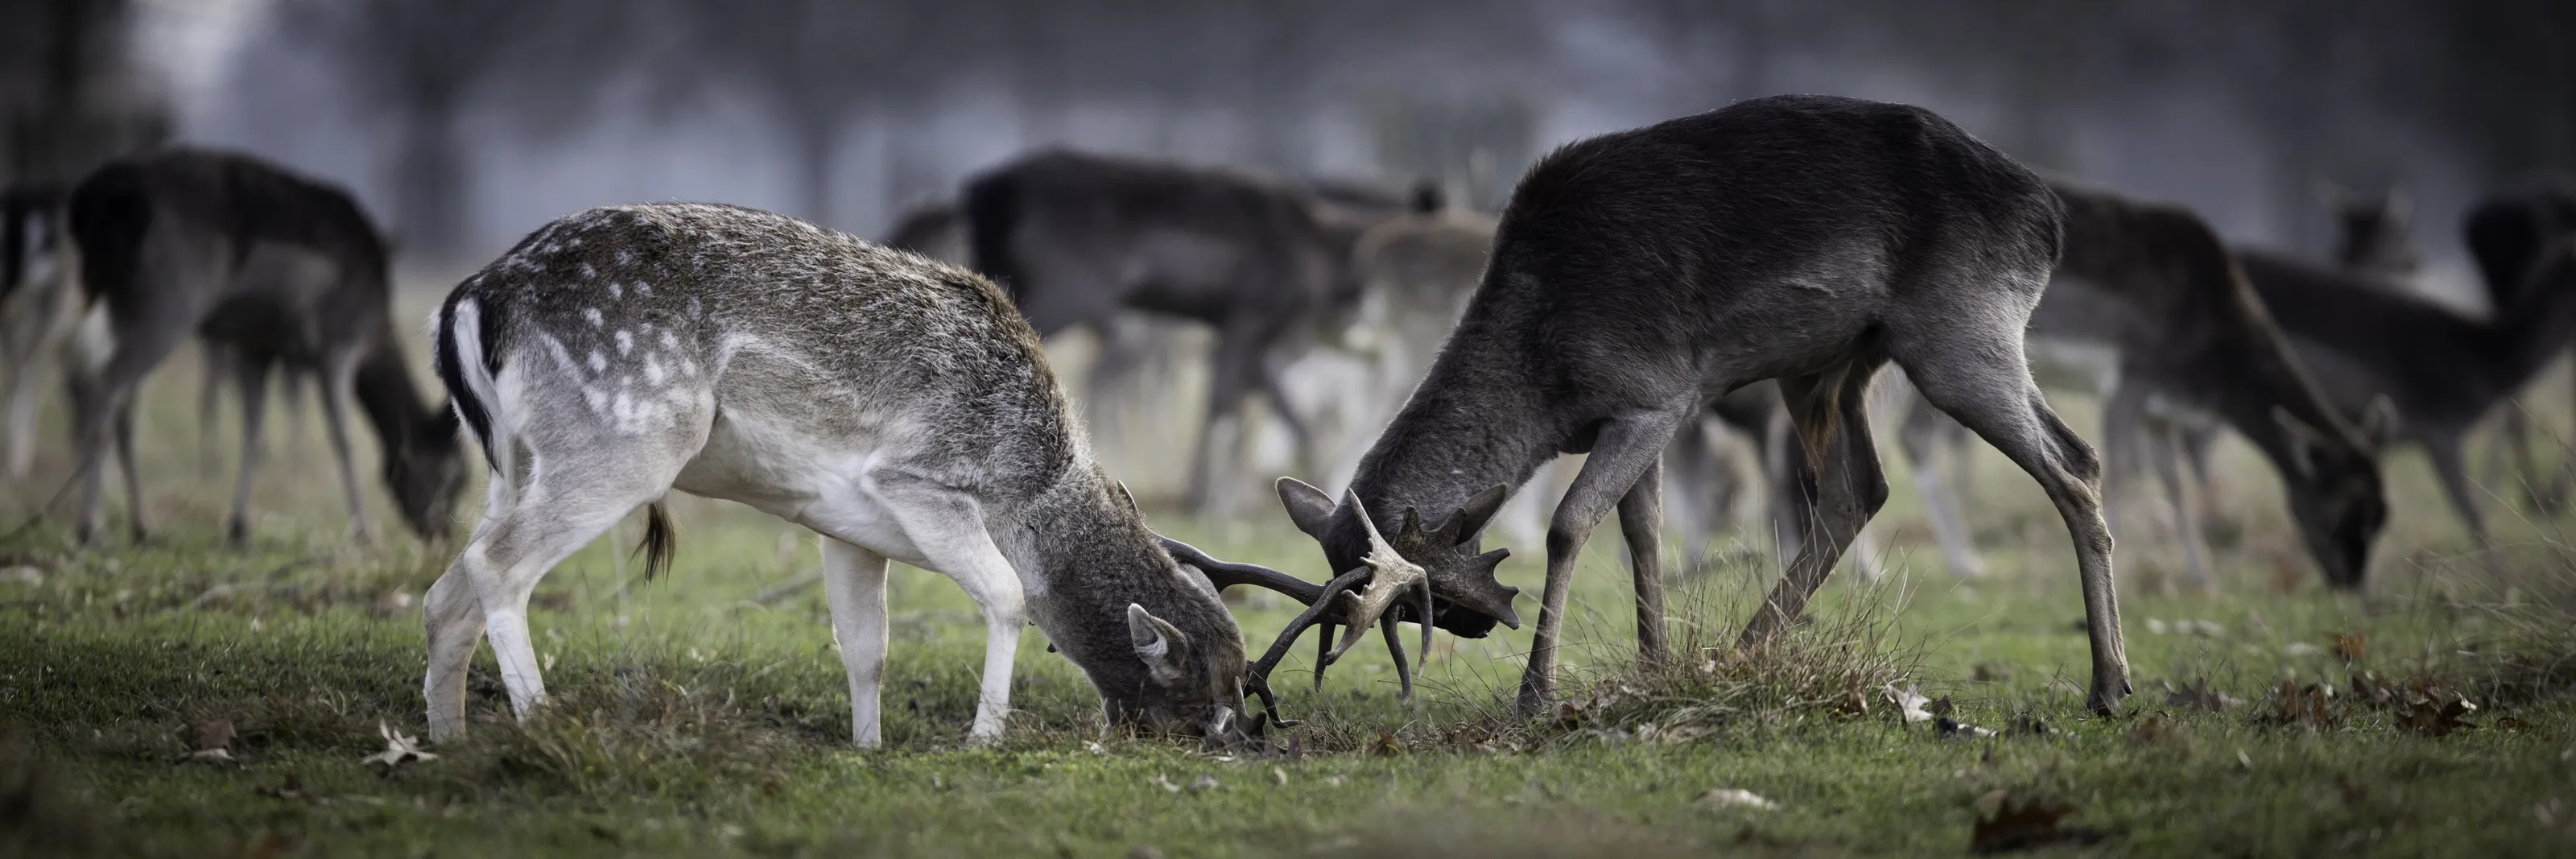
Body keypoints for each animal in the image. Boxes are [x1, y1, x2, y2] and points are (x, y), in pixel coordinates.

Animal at [60, 147, 467, 546]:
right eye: (454, 473)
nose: (440, 532)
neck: (374, 328)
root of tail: (91, 201)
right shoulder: (337, 340)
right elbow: (343, 438)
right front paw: (364, 533)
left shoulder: (255, 345)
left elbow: (252, 433)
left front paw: (239, 528)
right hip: (168, 296)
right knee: (103, 388)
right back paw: (91, 528)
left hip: (114, 297)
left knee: (118, 401)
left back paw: (143, 527)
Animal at [425, 202, 1317, 746]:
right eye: (1199, 703)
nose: (1231, 741)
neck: (1030, 499)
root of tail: (472, 298)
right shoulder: (923, 479)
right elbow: (1007, 595)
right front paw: (981, 737)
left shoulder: (845, 527)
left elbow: (866, 646)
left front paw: (868, 745)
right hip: (627, 438)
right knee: (498, 563)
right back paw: (540, 720)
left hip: (516, 461)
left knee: (444, 590)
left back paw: (449, 741)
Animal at [1196, 95, 2132, 717]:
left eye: (1406, 600)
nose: (1471, 629)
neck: (1546, 371)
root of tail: (2046, 217)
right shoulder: (1639, 416)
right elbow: (1640, 531)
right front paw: (1654, 665)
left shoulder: (1656, 395)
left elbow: (1570, 524)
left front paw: (1536, 691)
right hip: (1832, 363)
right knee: (1858, 487)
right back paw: (1740, 651)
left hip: (1959, 330)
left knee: (2076, 463)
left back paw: (2109, 683)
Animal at [1892, 180, 2390, 591]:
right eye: (2342, 506)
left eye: (2384, 514)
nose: (2350, 582)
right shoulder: (2129, 377)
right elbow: (2121, 469)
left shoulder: (2159, 409)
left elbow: (2174, 483)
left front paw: (2202, 576)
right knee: (1912, 435)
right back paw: (1959, 561)